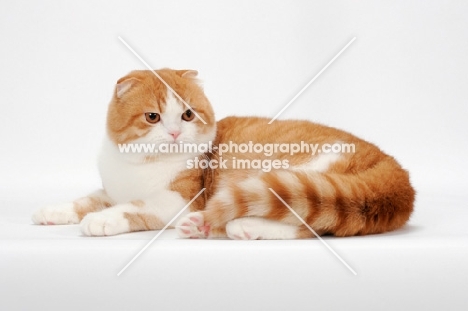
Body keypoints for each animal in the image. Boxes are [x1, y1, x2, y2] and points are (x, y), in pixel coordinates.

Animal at [31, 67, 414, 239]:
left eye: (188, 114)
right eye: (153, 117)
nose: (175, 132)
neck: (139, 165)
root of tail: (397, 171)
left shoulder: (180, 200)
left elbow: (135, 208)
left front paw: (103, 220)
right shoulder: (110, 189)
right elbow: (87, 199)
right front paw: (54, 211)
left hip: (296, 177)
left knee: (309, 225)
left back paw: (237, 226)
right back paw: (203, 228)